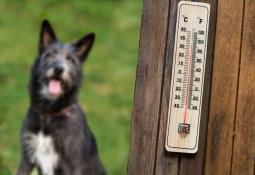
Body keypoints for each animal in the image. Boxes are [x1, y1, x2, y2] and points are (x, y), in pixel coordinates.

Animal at [16, 19, 105, 174]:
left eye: (70, 59)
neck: (49, 114)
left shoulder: (73, 164)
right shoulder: (27, 157)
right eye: (50, 54)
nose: (59, 69)